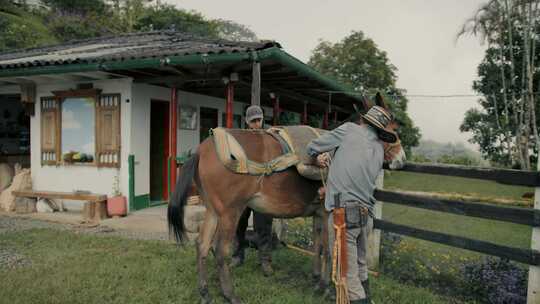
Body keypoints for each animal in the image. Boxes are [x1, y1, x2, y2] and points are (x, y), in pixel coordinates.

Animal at [169, 95, 404, 304]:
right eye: (393, 130)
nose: (401, 160)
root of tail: (203, 150)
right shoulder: (328, 214)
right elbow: (329, 250)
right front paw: (327, 287)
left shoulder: (318, 214)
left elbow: (318, 246)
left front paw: (317, 280)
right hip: (229, 213)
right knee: (220, 250)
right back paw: (229, 294)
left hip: (213, 211)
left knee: (202, 246)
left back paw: (205, 292)